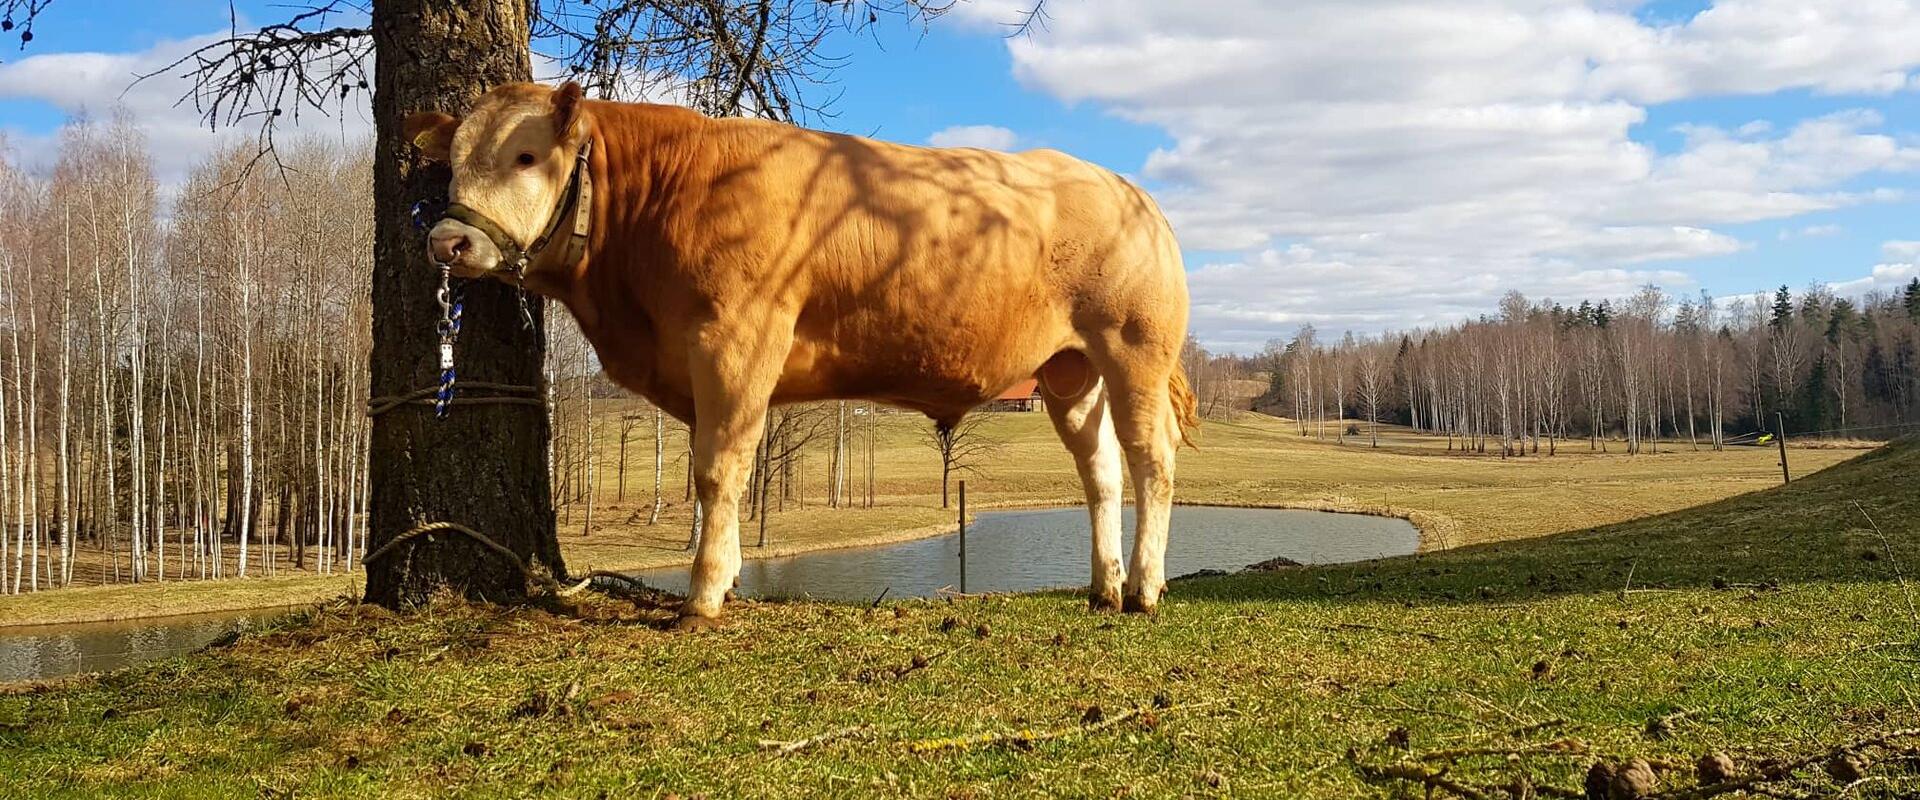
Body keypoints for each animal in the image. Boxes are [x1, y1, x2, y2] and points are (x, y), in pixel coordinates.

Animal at [405, 82, 1190, 629]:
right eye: (453, 165)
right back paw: (1103, 586)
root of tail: (1131, 191)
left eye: (527, 155)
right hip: (1069, 372)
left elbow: (718, 469)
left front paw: (702, 597)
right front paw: (722, 578)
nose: (447, 241)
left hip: (1134, 349)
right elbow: (722, 469)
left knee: (1151, 460)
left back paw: (1144, 587)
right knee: (1100, 470)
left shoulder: (736, 339)